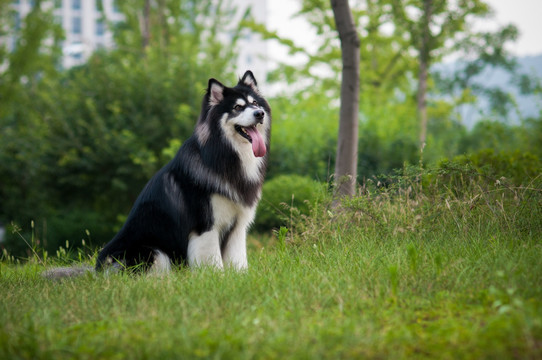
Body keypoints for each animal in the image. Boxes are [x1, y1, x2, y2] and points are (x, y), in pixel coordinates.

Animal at [95, 70, 272, 272]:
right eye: (237, 107)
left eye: (255, 103)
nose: (259, 113)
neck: (225, 155)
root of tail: (99, 267)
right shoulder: (206, 226)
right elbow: (213, 262)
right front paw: (216, 277)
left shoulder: (237, 227)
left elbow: (238, 260)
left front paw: (239, 276)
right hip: (154, 253)